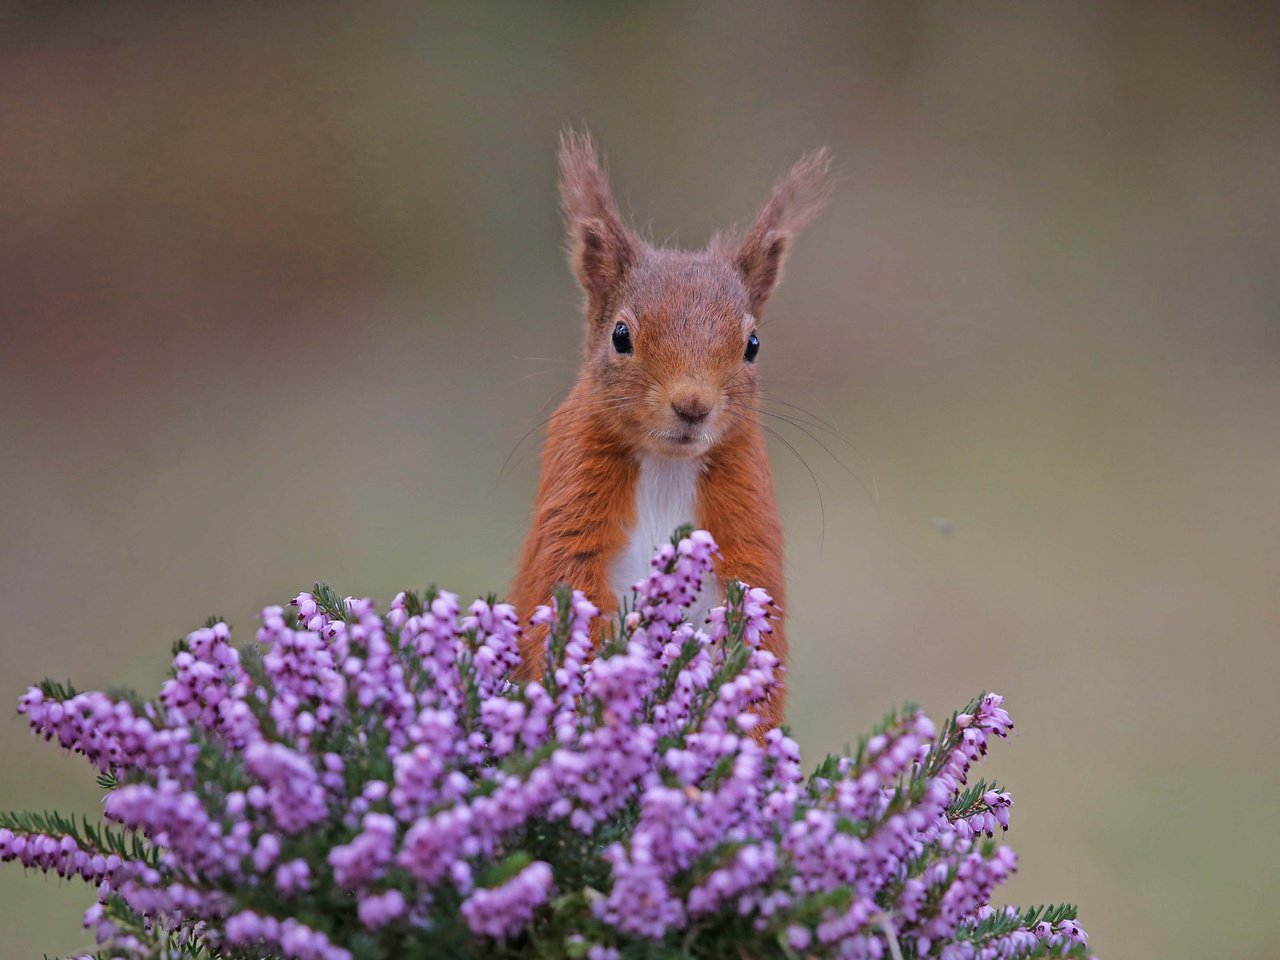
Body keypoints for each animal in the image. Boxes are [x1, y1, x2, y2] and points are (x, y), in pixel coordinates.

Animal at [509, 129, 829, 727]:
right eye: (620, 336)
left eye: (753, 345)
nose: (692, 405)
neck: (665, 464)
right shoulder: (573, 494)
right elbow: (565, 584)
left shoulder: (748, 512)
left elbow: (759, 625)